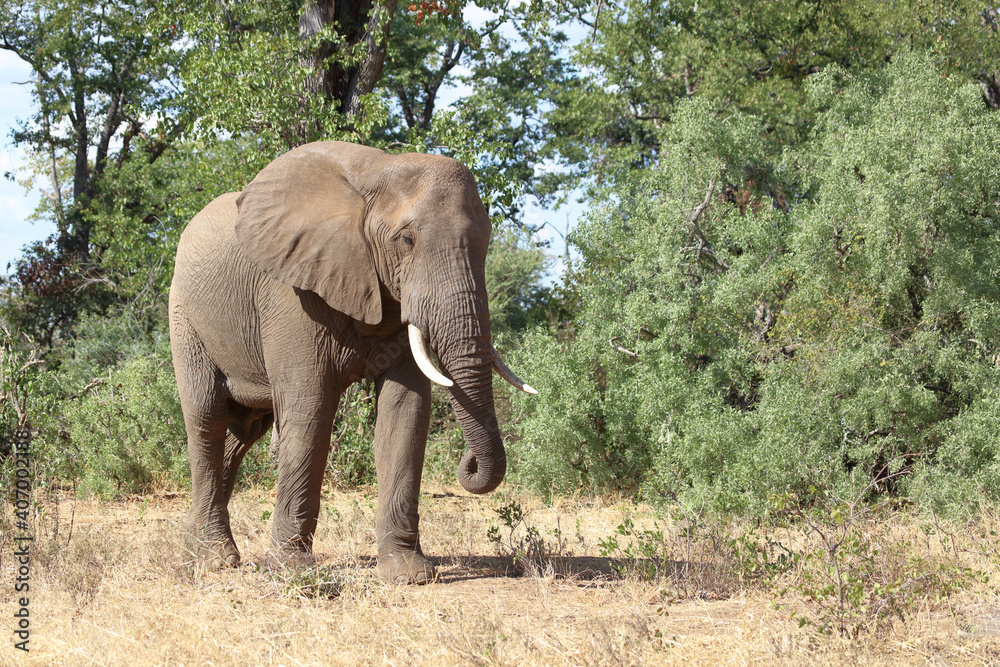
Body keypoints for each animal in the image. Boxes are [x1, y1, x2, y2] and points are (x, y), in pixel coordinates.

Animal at [170, 141, 540, 584]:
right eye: (406, 240)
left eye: (486, 242)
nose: (467, 463)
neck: (380, 170)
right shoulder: (290, 291)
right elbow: (310, 408)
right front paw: (291, 570)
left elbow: (405, 411)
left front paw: (408, 575)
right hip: (184, 316)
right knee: (206, 417)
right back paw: (216, 560)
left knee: (240, 434)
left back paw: (191, 550)